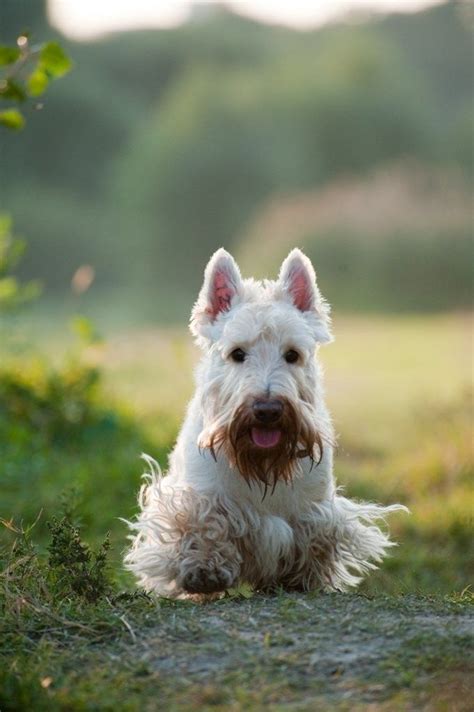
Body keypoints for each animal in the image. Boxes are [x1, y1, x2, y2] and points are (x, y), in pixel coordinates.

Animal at [124, 248, 406, 596]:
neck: (262, 464)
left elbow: (314, 537)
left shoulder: (313, 507)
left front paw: (301, 576)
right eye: (237, 353)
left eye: (292, 354)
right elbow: (204, 525)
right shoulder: (200, 497)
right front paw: (204, 569)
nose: (268, 409)